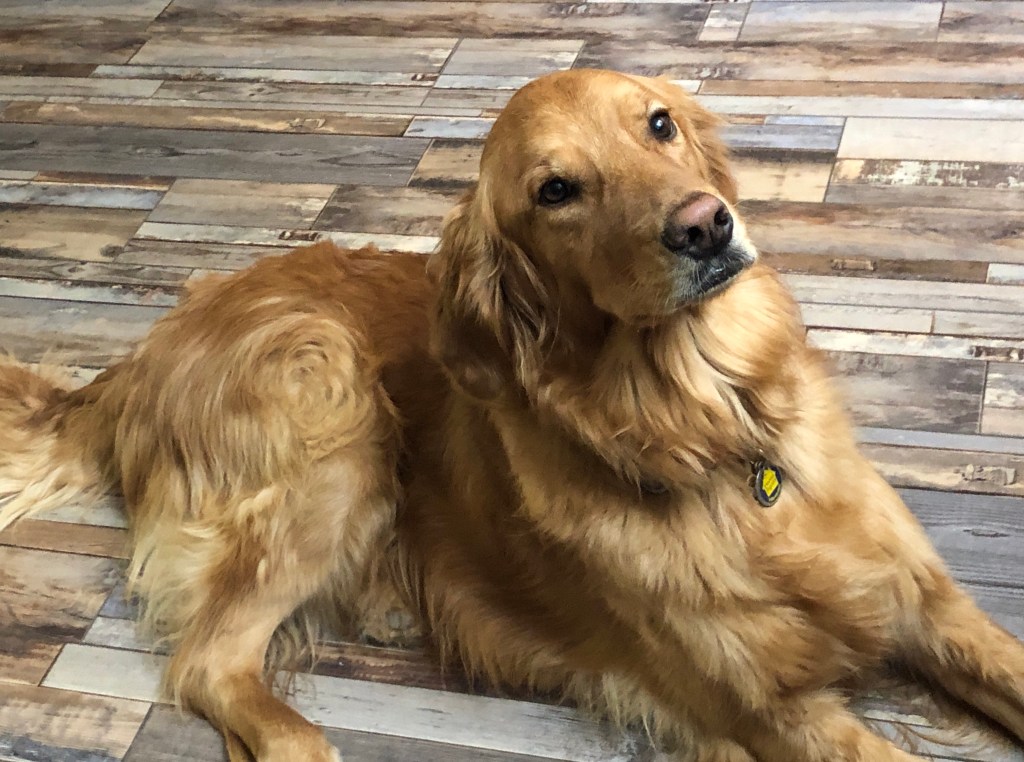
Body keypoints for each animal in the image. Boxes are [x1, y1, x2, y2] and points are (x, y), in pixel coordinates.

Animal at [2, 69, 1023, 762]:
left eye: (658, 124)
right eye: (556, 191)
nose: (706, 224)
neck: (714, 432)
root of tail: (136, 359)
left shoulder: (929, 605)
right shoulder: (776, 712)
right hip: (327, 387)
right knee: (209, 664)